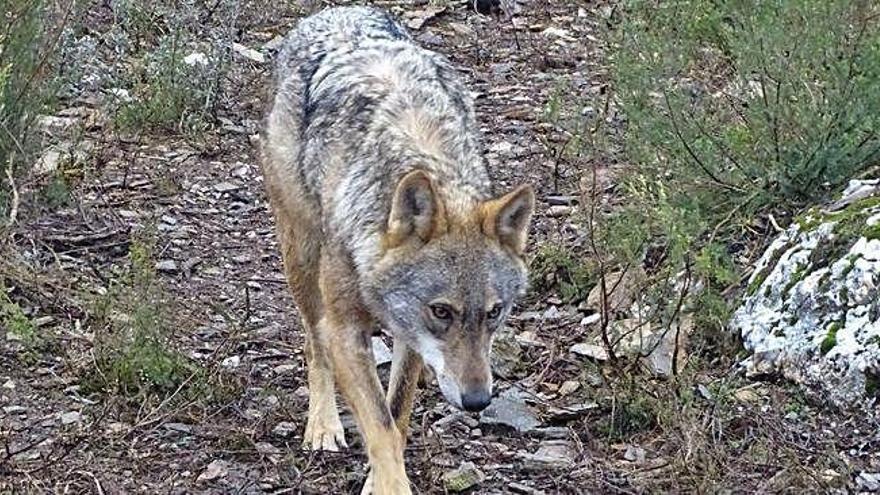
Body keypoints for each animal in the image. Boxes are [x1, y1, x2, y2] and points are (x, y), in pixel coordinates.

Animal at [260, 5, 536, 494]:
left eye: (494, 312)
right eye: (442, 311)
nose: (478, 400)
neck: (419, 150)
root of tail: (337, 10)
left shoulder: (410, 337)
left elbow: (397, 415)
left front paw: (377, 477)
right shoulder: (346, 330)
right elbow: (380, 427)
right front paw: (388, 481)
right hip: (301, 256)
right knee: (313, 343)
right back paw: (323, 426)